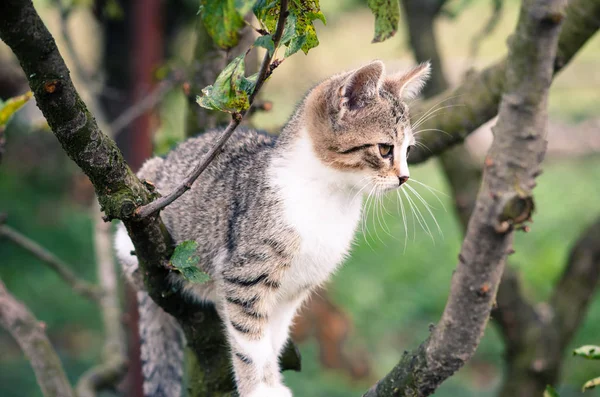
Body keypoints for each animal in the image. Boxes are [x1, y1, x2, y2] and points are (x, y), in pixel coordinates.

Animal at [115, 59, 428, 396]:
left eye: (408, 151)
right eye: (385, 149)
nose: (405, 177)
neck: (333, 199)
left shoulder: (293, 291)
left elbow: (272, 339)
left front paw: (272, 380)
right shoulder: (244, 275)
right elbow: (250, 341)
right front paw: (259, 389)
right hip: (143, 201)